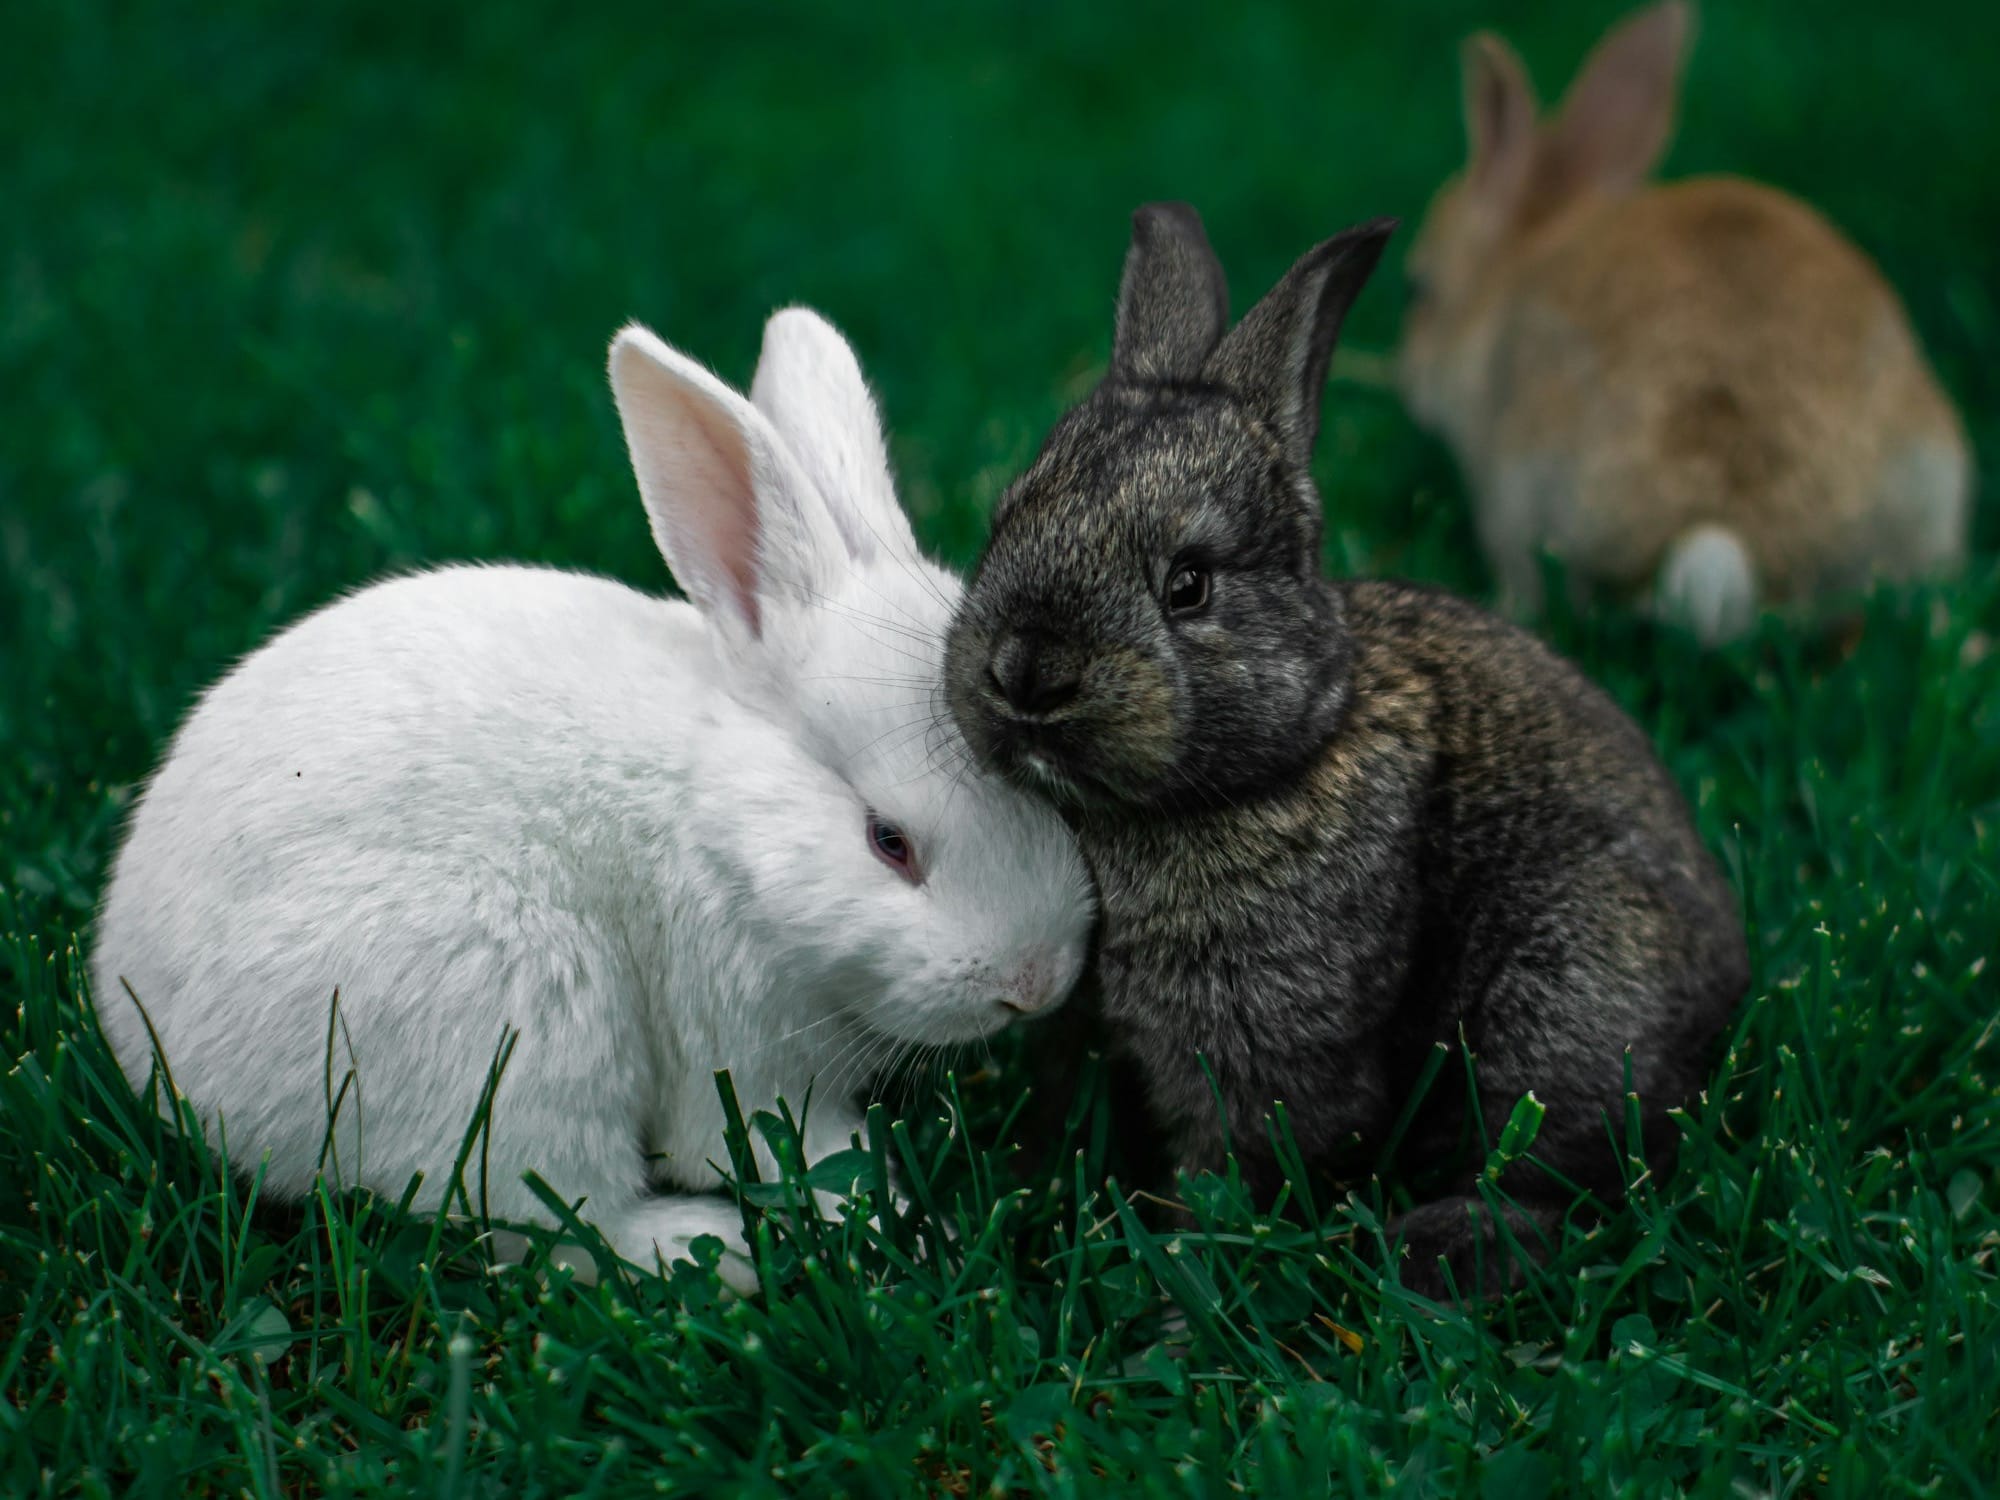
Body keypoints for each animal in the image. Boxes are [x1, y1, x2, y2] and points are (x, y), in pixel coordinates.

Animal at [91, 308, 1095, 1292]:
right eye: (889, 841)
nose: (1034, 986)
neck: (726, 822)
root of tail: (149, 1041)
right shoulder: (737, 1041)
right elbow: (784, 1148)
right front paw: (910, 1229)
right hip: (522, 1027)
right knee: (558, 1225)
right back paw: (712, 1250)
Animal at [943, 202, 1749, 1296]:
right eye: (1004, 521)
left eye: (1189, 584)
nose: (1026, 672)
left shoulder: (1261, 1045)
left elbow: (1241, 1155)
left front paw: (1184, 1267)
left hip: (1570, 999)